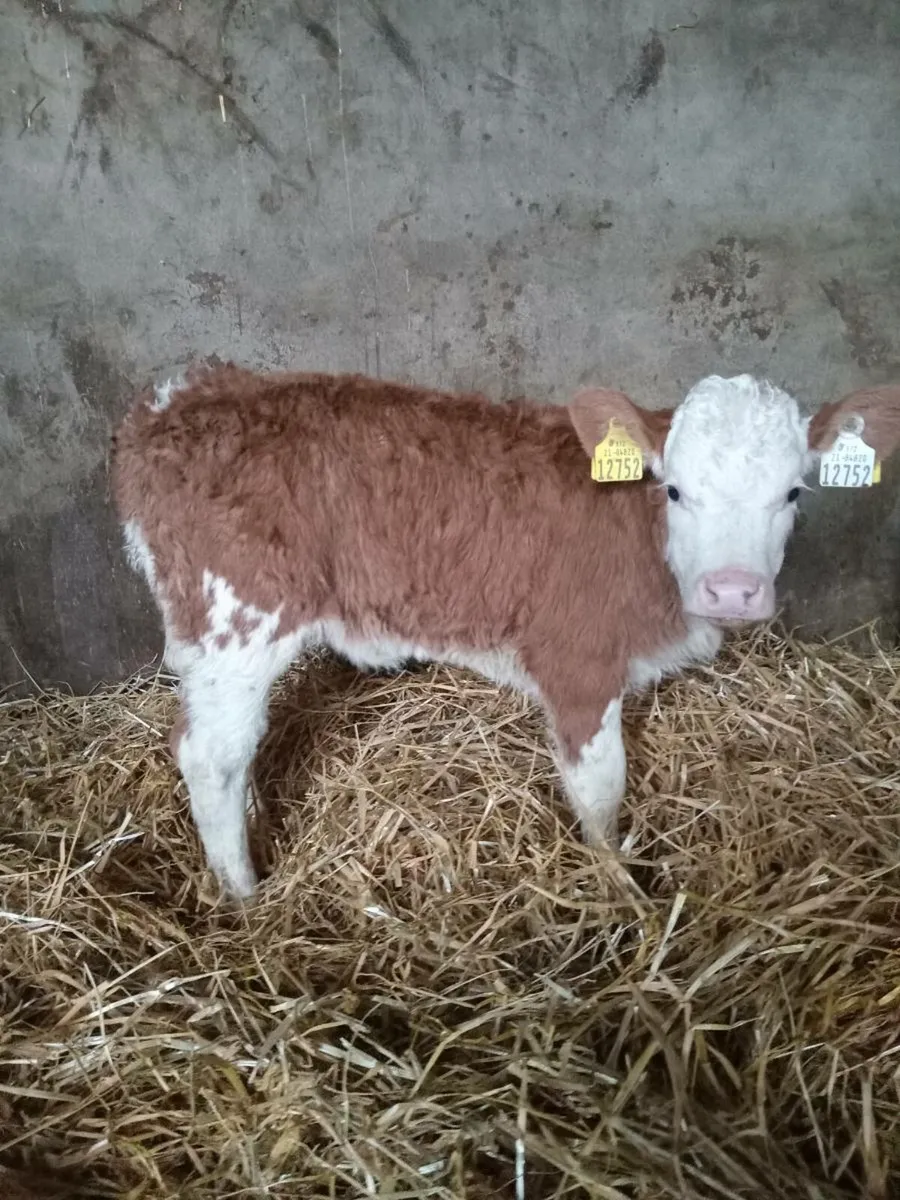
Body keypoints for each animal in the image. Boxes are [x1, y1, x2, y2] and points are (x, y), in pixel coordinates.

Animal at [110, 365, 900, 897]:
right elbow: (601, 791)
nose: (733, 589)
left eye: (793, 492)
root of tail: (178, 399)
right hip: (237, 619)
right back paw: (246, 896)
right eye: (675, 489)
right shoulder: (577, 663)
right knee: (209, 756)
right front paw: (623, 893)